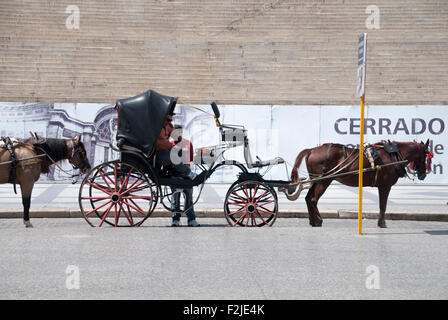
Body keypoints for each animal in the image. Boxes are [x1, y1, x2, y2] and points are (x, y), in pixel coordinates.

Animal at [284, 140, 434, 228]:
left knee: (308, 198)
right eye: (426, 155)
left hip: (316, 180)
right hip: (324, 180)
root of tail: (312, 149)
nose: (423, 174)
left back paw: (313, 221)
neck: (393, 155)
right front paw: (382, 223)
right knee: (314, 199)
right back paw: (318, 220)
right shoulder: (385, 186)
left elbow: (382, 205)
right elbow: (383, 205)